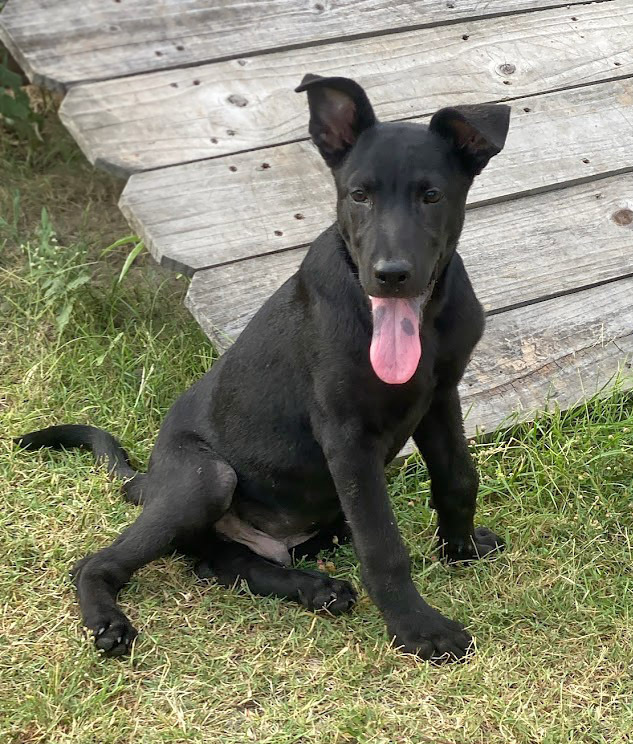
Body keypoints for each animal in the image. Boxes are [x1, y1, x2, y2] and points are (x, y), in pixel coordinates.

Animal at [17, 75, 512, 660]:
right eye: (359, 195)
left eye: (431, 196)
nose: (390, 275)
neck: (420, 322)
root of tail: (149, 480)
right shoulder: (346, 437)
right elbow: (383, 544)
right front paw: (418, 629)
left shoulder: (440, 396)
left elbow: (458, 477)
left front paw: (461, 549)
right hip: (207, 478)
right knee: (101, 562)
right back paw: (108, 621)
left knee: (227, 563)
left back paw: (317, 589)